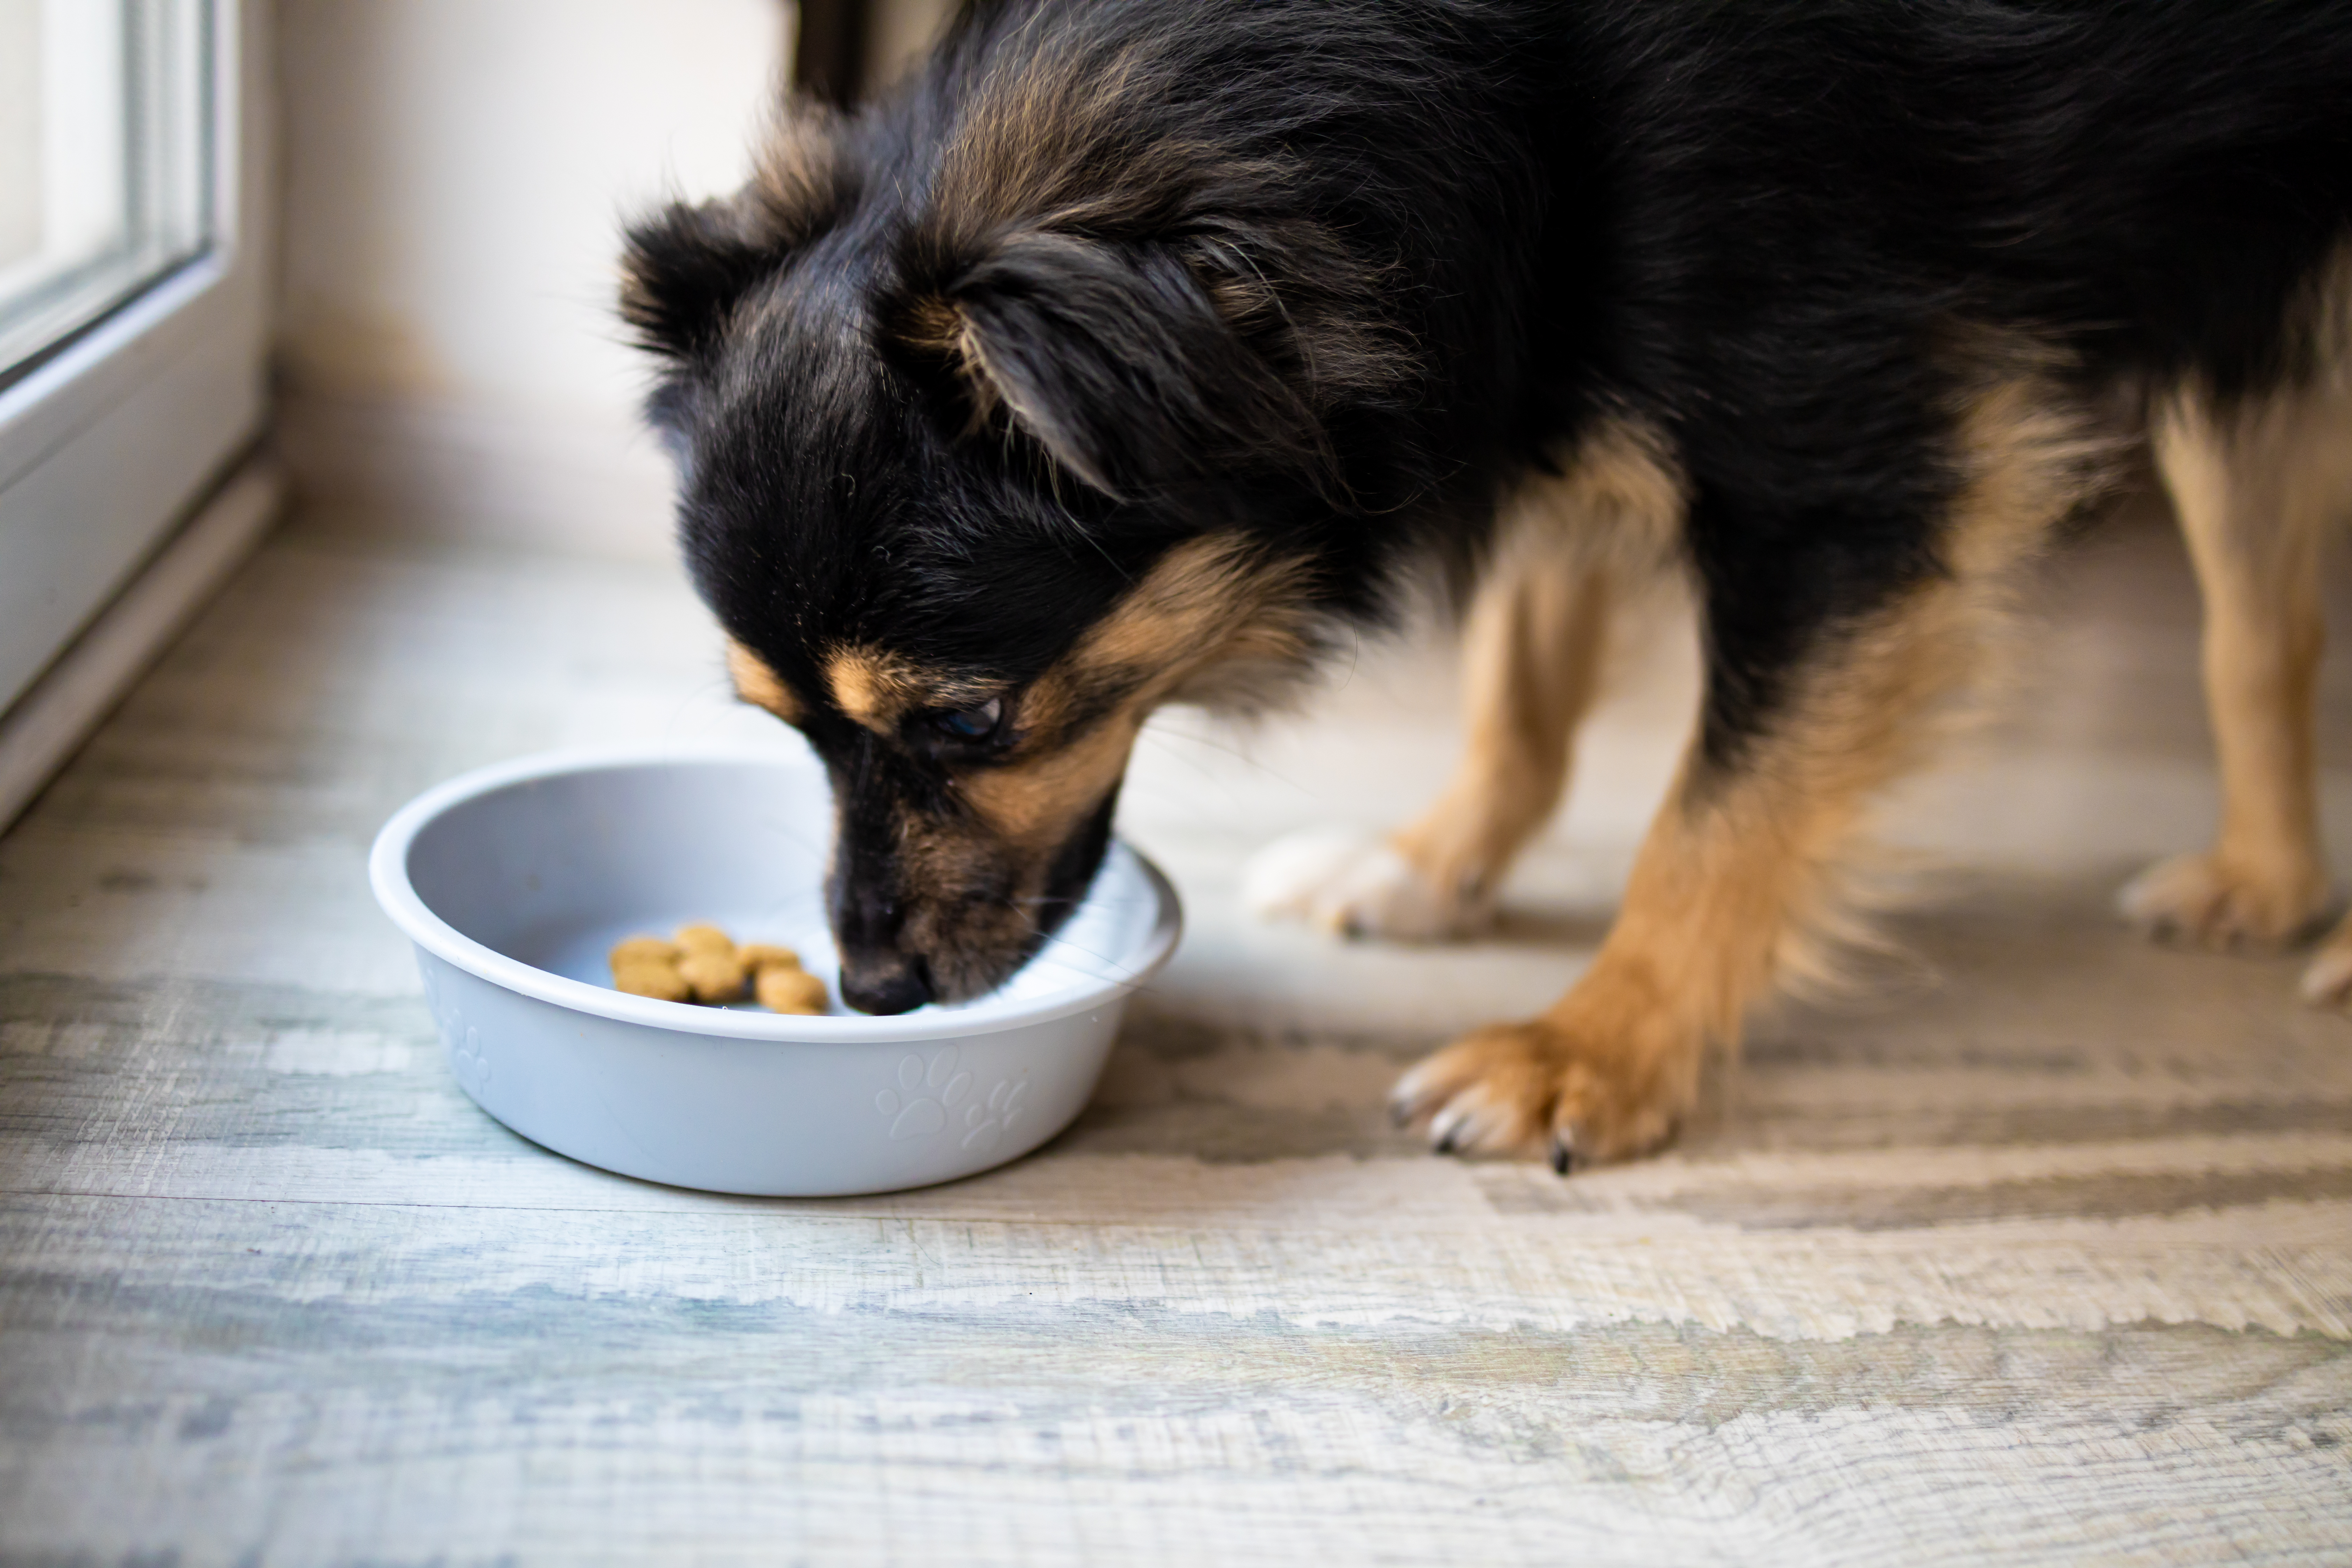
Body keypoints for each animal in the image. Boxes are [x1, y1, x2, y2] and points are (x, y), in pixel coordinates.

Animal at [625, 0, 2352, 1170]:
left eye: (970, 722)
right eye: (779, 728)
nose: (871, 988)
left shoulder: (1841, 475)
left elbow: (1714, 817)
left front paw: (1587, 1051)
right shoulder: (1534, 354)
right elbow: (1520, 676)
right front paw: (1431, 865)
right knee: (2256, 628)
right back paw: (2263, 885)